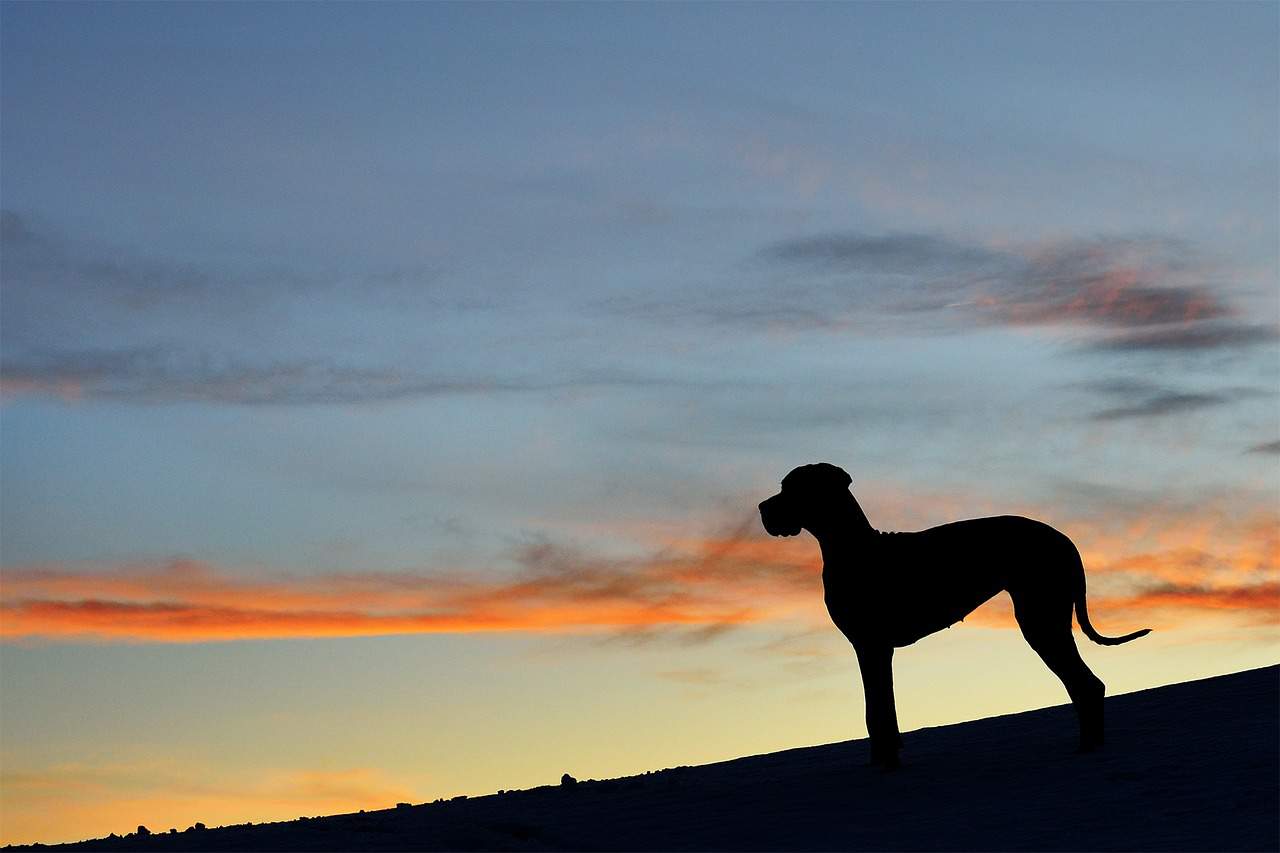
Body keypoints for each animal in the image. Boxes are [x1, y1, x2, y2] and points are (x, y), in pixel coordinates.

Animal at [752, 461, 1157, 768]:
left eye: (791, 488)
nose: (761, 508)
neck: (853, 550)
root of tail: (1064, 539)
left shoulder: (871, 646)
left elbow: (877, 712)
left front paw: (884, 765)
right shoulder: (876, 649)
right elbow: (883, 711)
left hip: (1040, 620)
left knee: (1086, 684)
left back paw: (1088, 749)